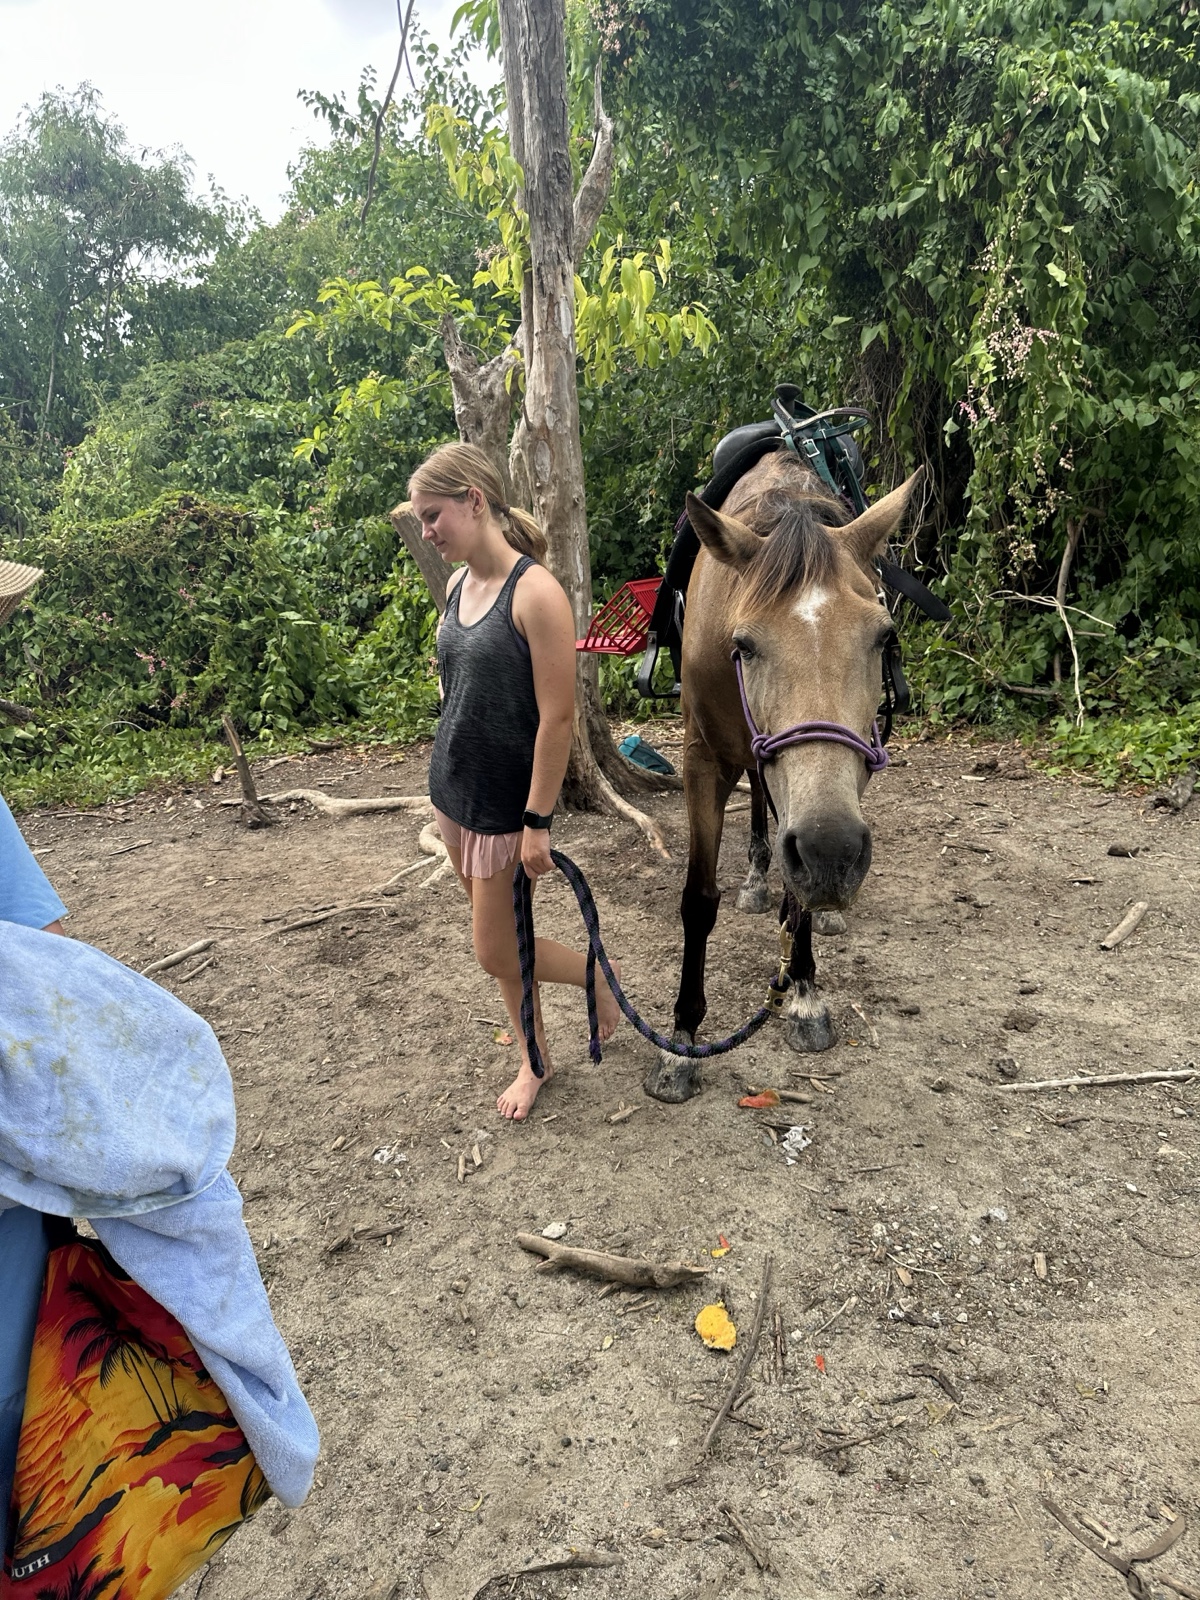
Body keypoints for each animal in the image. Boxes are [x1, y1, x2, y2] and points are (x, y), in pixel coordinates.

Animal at [643, 451, 923, 1104]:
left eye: (884, 636)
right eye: (743, 645)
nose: (832, 851)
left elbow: (801, 894)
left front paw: (804, 992)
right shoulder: (700, 761)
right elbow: (698, 900)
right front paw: (682, 1040)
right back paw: (755, 876)